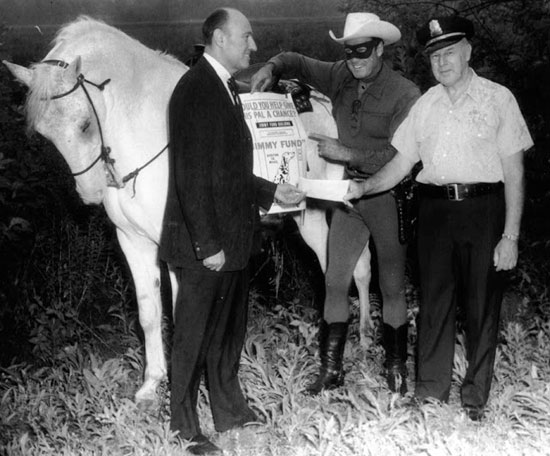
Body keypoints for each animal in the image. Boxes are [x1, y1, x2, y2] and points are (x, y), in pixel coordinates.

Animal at [3, 16, 370, 404]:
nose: (90, 193)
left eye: (85, 124)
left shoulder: (186, 255)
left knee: (355, 268)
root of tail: (320, 98)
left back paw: (362, 337)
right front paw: (151, 384)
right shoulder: (134, 243)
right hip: (307, 215)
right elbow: (149, 313)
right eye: (45, 134)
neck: (149, 131)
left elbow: (185, 317)